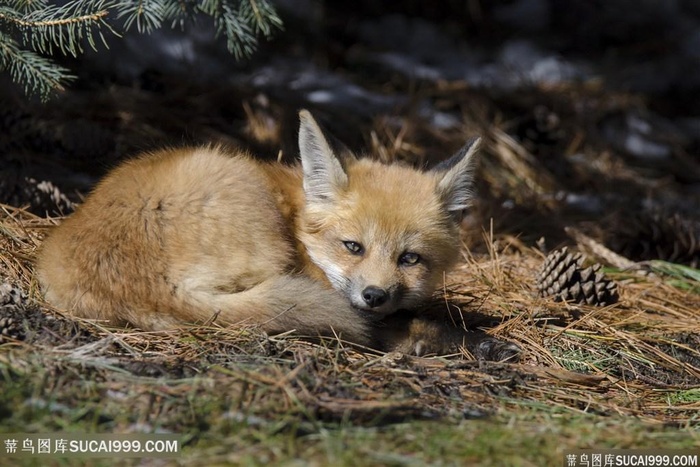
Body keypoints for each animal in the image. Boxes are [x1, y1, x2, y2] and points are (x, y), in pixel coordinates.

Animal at [37, 110, 520, 362]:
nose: (375, 296)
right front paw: (466, 339)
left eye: (410, 258)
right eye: (353, 247)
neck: (299, 218)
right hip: (240, 187)